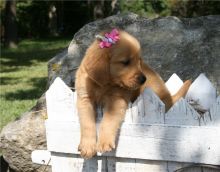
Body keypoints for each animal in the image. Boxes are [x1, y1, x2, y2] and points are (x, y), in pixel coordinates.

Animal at [75, 29, 191, 159]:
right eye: (125, 62)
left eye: (139, 60)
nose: (143, 79)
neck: (105, 84)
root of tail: (169, 97)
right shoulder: (84, 99)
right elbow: (87, 123)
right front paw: (87, 146)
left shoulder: (117, 100)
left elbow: (108, 120)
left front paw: (104, 141)